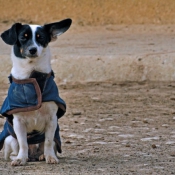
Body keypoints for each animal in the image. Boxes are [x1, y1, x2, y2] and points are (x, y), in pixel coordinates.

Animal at [0, 18, 72, 165]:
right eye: (23, 37)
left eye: (41, 38)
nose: (33, 49)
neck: (33, 75)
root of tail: (33, 155)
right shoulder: (18, 122)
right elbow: (23, 143)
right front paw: (21, 159)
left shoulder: (52, 120)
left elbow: (48, 142)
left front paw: (50, 157)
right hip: (10, 139)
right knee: (15, 150)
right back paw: (21, 157)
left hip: (54, 138)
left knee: (45, 146)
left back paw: (42, 156)